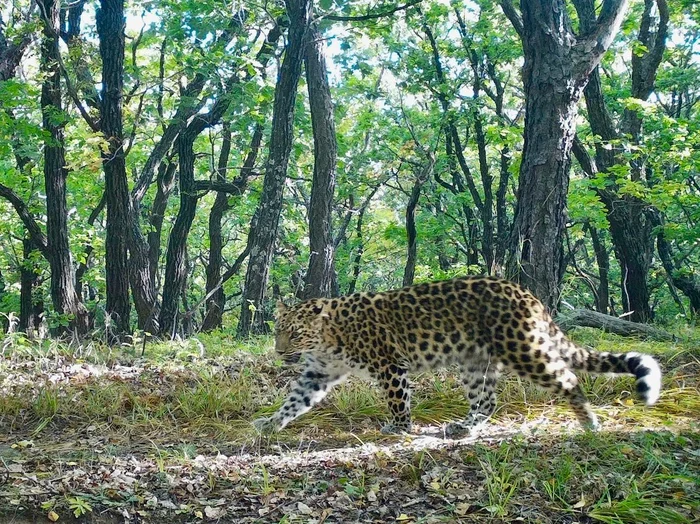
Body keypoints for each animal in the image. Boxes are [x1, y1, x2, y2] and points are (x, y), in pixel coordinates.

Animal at [253, 276, 660, 436]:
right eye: (278, 331)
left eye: (295, 333)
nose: (279, 351)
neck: (326, 340)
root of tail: (527, 294)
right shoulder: (318, 373)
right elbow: (294, 400)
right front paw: (271, 423)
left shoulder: (389, 365)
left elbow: (397, 400)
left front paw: (399, 428)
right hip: (475, 362)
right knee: (488, 399)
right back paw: (466, 427)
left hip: (523, 348)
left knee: (569, 378)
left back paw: (589, 422)